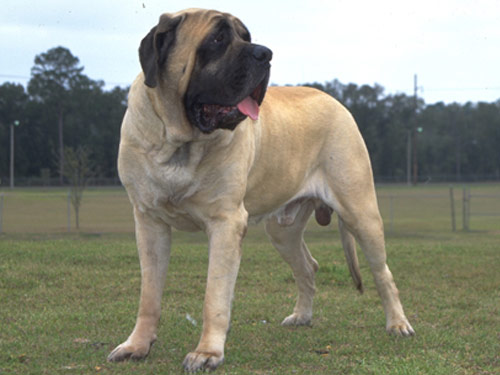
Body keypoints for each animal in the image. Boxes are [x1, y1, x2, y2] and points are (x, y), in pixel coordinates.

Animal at [108, 8, 414, 374]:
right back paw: (302, 316)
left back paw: (398, 324)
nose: (264, 53)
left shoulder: (226, 223)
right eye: (217, 39)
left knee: (383, 273)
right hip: (282, 230)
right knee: (307, 266)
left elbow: (214, 295)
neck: (179, 142)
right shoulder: (149, 222)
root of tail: (337, 103)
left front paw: (208, 352)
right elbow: (149, 295)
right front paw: (136, 345)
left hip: (361, 212)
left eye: (247, 37)